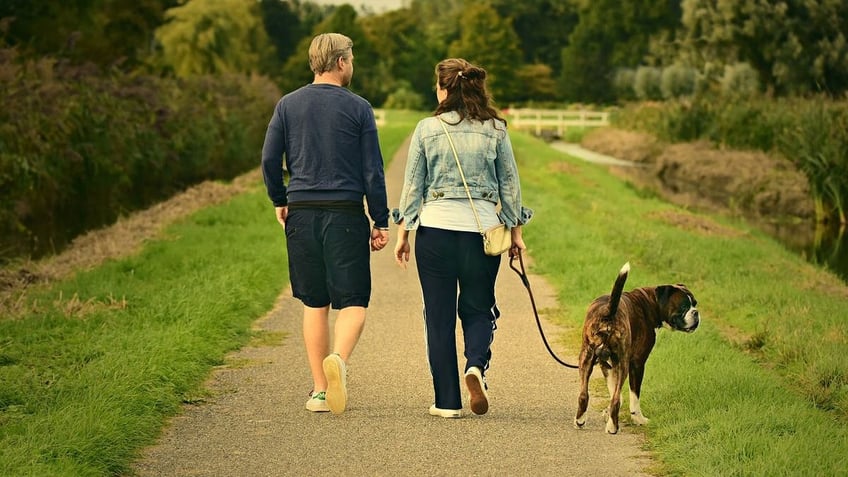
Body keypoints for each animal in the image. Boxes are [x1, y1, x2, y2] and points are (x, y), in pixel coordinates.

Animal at [572, 262, 700, 434]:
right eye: (684, 306)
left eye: (695, 304)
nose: (696, 312)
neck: (651, 302)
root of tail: (608, 311)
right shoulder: (637, 364)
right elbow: (633, 396)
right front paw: (638, 419)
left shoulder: (607, 365)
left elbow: (616, 393)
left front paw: (608, 414)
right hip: (624, 363)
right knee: (615, 398)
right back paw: (613, 428)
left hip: (586, 358)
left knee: (584, 395)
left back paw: (580, 421)